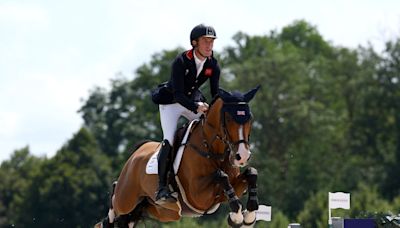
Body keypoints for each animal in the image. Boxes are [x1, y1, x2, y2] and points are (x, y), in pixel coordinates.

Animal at [95, 86, 260, 228]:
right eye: (230, 119)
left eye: (250, 118)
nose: (242, 156)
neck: (212, 149)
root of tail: (136, 153)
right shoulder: (198, 196)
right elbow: (221, 175)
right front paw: (237, 217)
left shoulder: (225, 191)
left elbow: (251, 173)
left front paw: (249, 217)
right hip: (126, 199)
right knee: (115, 199)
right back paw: (105, 222)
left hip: (161, 211)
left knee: (127, 219)